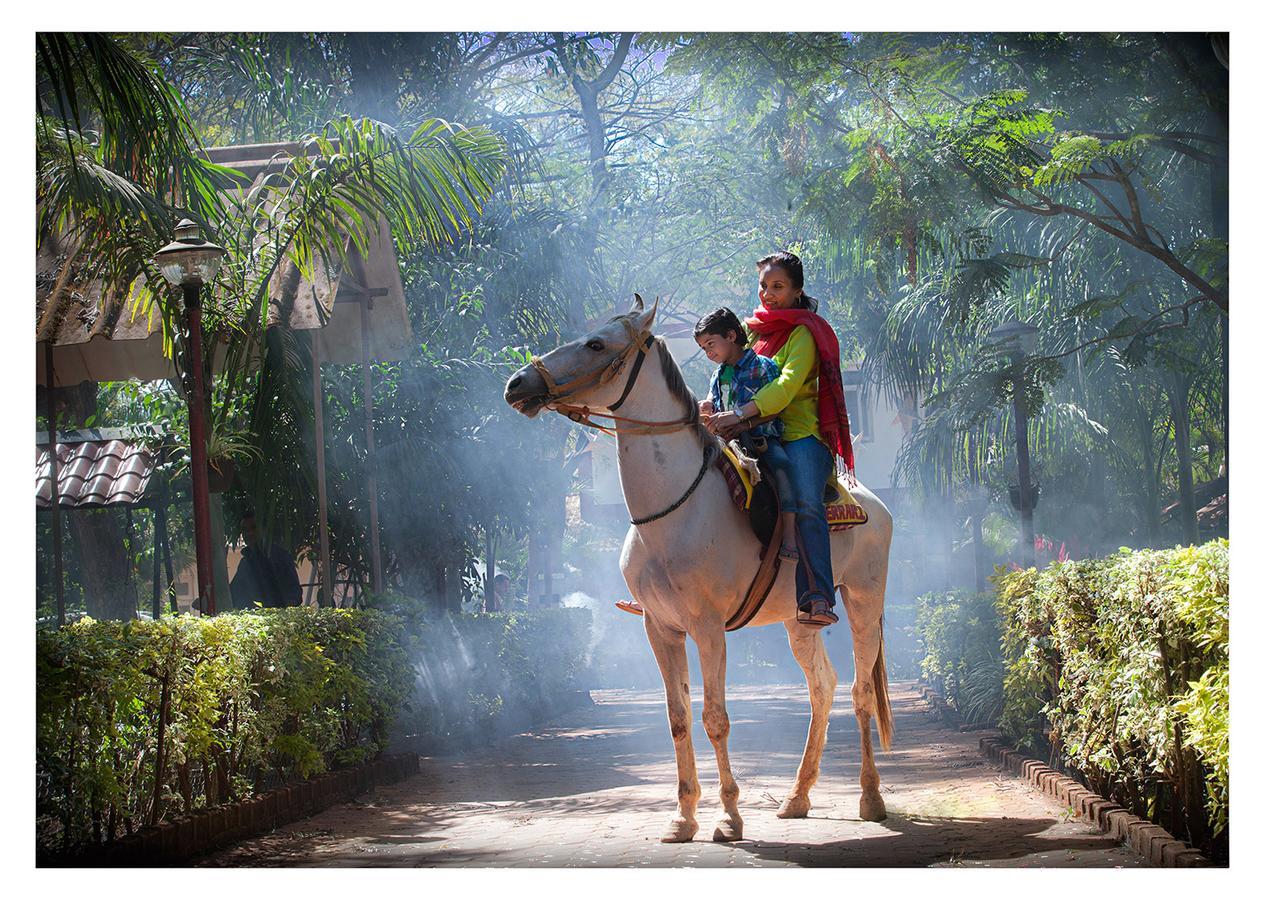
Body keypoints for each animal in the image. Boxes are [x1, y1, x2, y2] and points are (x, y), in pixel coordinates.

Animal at [498, 298, 895, 840]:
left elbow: (715, 718)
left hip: (863, 600)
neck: (673, 512)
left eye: (596, 344)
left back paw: (871, 797)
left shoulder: (708, 628)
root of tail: (872, 502)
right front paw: (683, 816)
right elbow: (679, 718)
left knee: (860, 692)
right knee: (822, 688)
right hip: (799, 620)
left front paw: (728, 817)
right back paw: (797, 796)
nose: (518, 383)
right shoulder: (659, 627)